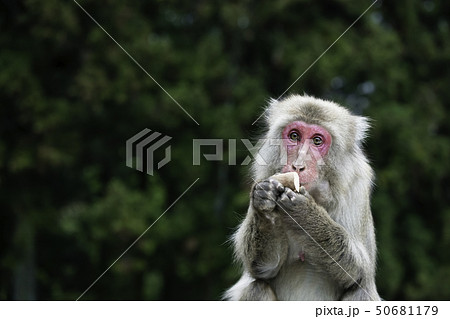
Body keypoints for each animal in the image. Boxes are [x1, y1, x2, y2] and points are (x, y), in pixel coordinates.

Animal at [224, 94, 380, 302]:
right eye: (294, 136)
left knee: (360, 291)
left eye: (317, 140)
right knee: (257, 286)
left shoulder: (356, 186)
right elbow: (263, 268)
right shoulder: (264, 174)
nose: (298, 166)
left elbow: (359, 271)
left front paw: (305, 213)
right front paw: (264, 205)